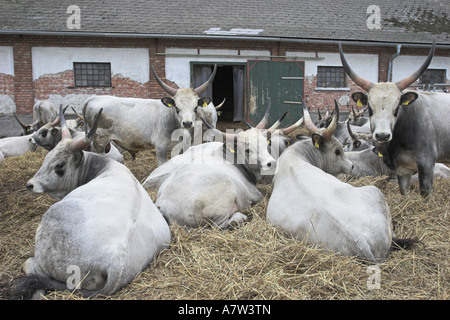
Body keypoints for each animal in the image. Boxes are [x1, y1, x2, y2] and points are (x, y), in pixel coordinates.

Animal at [12, 106, 171, 298]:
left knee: (31, 268)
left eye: (59, 166)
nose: (31, 184)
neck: (103, 166)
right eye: (47, 157)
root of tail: (116, 262)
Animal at [83, 65, 219, 165]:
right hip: (99, 142)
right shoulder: (160, 147)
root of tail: (95, 97)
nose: (187, 123)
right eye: (177, 108)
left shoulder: (183, 146)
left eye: (195, 107)